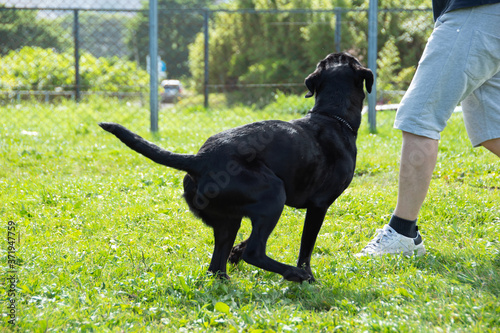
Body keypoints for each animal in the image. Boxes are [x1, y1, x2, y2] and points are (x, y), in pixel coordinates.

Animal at [98, 52, 372, 282]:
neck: (331, 117)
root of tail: (200, 159)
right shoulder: (319, 205)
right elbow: (306, 247)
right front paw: (309, 275)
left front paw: (236, 253)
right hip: (273, 196)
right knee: (254, 252)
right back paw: (295, 274)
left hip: (229, 221)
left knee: (216, 268)